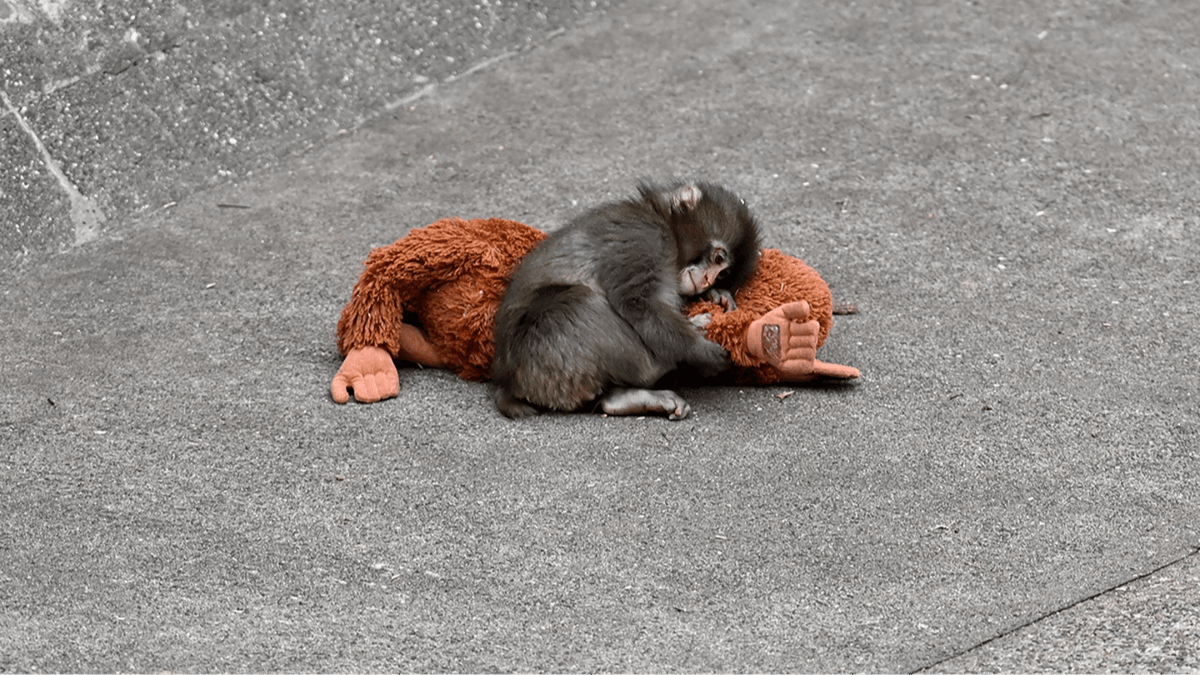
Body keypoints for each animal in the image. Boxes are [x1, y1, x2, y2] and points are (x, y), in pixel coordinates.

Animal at [490, 180, 760, 420]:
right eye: (718, 259)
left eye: (723, 274)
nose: (707, 280)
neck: (661, 221)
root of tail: (508, 382)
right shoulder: (645, 236)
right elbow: (638, 302)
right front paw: (699, 350)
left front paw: (716, 295)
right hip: (543, 355)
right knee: (579, 302)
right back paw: (664, 363)